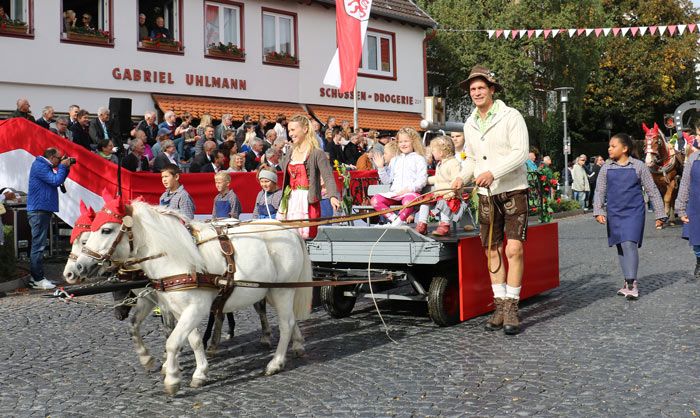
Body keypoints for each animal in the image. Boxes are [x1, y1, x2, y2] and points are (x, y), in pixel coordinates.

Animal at [74, 201, 312, 394]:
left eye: (106, 230)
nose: (79, 267)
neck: (176, 259)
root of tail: (290, 231)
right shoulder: (180, 309)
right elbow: (193, 340)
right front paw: (200, 373)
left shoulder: (195, 308)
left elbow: (172, 341)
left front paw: (171, 378)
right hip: (271, 290)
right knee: (291, 319)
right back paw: (298, 345)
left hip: (282, 291)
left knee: (286, 323)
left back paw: (276, 363)